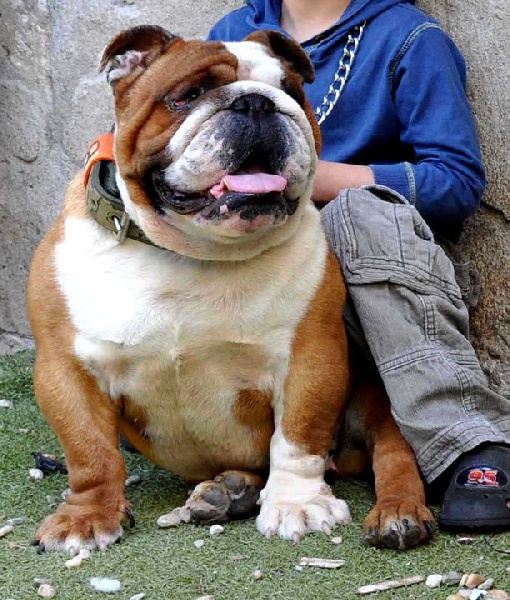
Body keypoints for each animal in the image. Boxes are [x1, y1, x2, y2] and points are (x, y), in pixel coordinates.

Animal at [27, 25, 434, 553]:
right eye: (188, 95)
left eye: (291, 92)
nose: (257, 103)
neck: (193, 252)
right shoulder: (68, 369)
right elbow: (89, 450)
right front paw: (87, 516)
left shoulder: (311, 358)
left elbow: (298, 435)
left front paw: (298, 504)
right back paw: (230, 491)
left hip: (373, 401)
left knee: (393, 451)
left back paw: (398, 513)